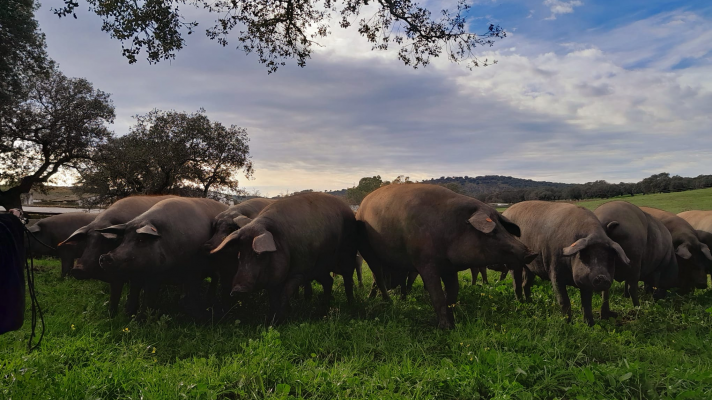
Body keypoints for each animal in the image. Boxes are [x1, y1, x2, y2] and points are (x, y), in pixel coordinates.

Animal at [96, 198, 227, 318]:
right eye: (123, 239)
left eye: (141, 240)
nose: (105, 257)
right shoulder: (149, 275)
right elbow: (140, 295)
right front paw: (130, 315)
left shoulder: (194, 271)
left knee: (216, 279)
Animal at [210, 192, 356, 324]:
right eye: (240, 254)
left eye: (259, 254)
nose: (238, 289)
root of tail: (347, 207)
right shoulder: (274, 280)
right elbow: (273, 299)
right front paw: (270, 322)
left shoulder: (299, 272)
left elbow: (285, 295)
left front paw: (280, 320)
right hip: (320, 267)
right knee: (329, 281)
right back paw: (321, 310)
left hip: (347, 255)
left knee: (348, 280)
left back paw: (351, 308)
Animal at [356, 184, 536, 328]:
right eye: (493, 232)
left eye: (504, 229)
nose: (531, 253)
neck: (450, 230)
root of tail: (362, 204)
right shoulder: (425, 263)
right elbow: (437, 296)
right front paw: (445, 327)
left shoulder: (450, 268)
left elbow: (452, 293)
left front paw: (454, 321)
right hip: (367, 250)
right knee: (378, 276)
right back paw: (387, 301)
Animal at [500, 202, 628, 326]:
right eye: (586, 256)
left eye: (610, 258)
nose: (602, 278)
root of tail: (506, 211)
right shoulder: (555, 272)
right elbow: (564, 301)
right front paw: (567, 323)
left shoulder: (585, 281)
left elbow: (587, 303)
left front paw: (590, 325)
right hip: (514, 262)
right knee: (516, 283)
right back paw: (521, 303)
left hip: (531, 266)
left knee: (525, 283)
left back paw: (530, 302)